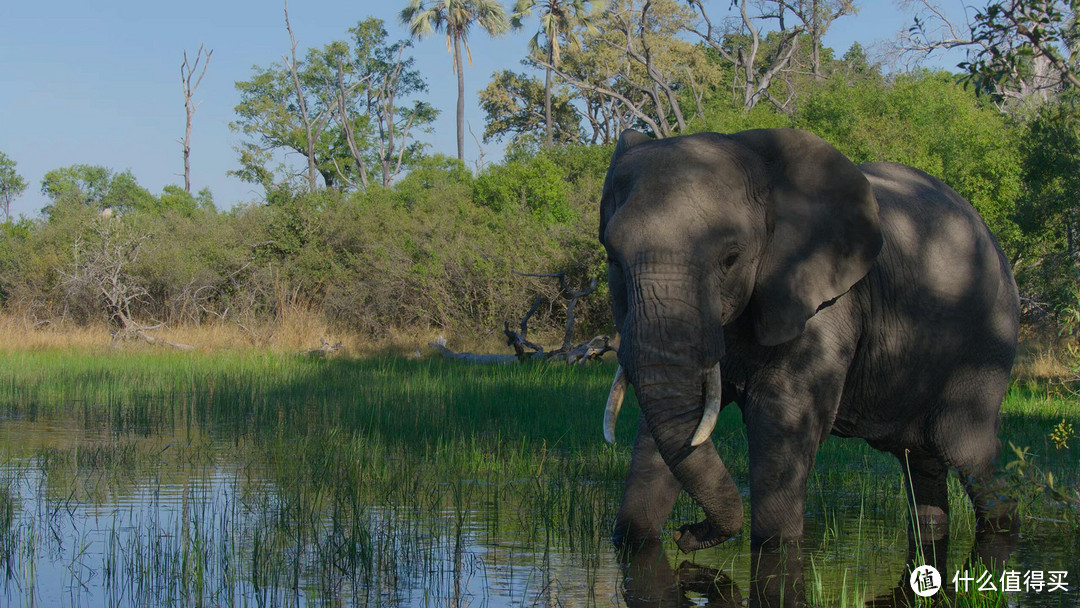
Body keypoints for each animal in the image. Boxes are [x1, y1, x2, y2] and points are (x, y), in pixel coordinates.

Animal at [600, 128, 1019, 604]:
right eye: (612, 259)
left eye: (730, 258)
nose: (686, 533)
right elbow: (664, 433)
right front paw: (639, 535)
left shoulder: (825, 299)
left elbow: (779, 417)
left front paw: (770, 545)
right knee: (922, 464)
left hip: (989, 337)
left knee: (966, 448)